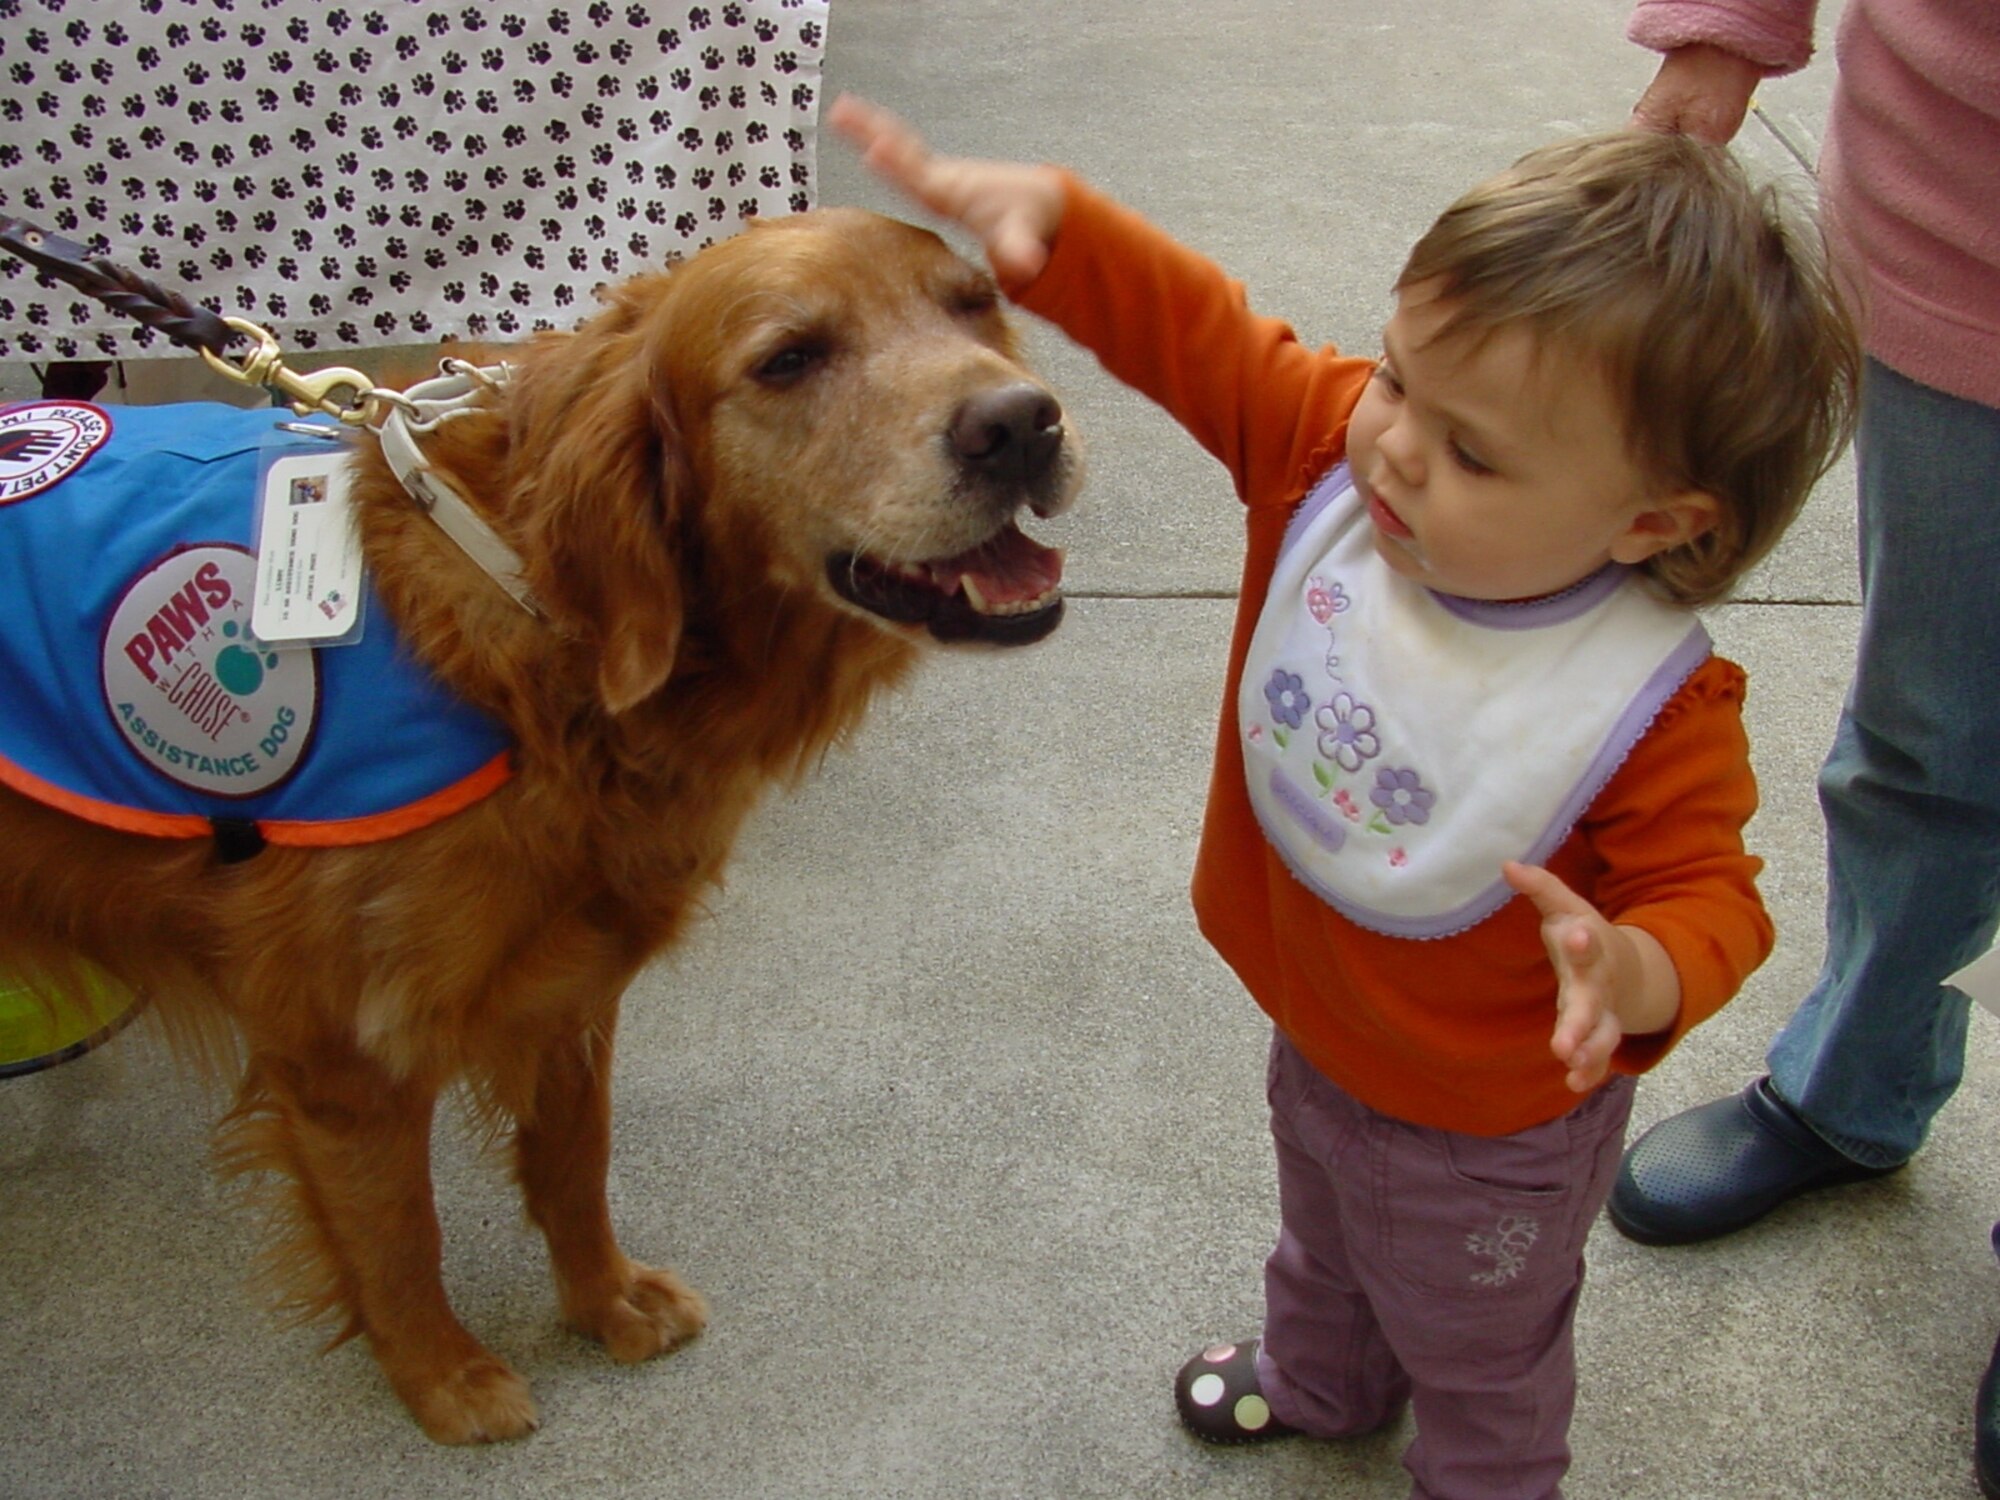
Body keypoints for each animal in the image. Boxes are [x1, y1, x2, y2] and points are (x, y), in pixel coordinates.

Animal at [0, 209, 1080, 1448]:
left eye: (973, 304)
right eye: (788, 360)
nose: (1020, 424)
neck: (544, 614)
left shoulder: (567, 984)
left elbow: (574, 1165)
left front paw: (602, 1305)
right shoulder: (343, 1051)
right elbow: (398, 1239)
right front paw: (442, 1379)